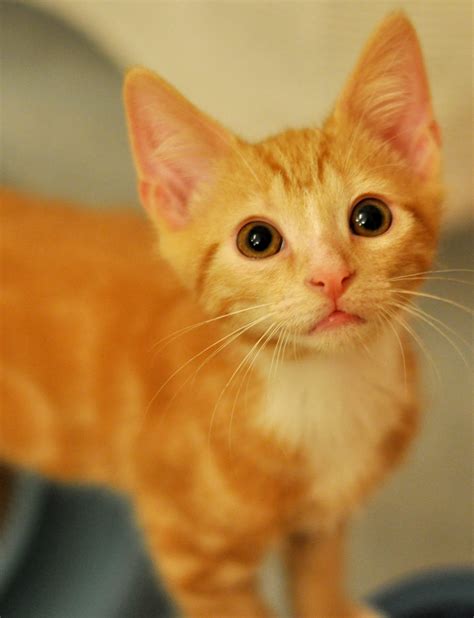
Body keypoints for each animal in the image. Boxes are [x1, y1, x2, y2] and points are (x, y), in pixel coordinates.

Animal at [0, 14, 444, 616]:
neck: (320, 389)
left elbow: (319, 575)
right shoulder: (192, 553)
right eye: (258, 240)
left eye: (370, 217)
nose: (331, 276)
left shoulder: (322, 521)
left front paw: (333, 603)